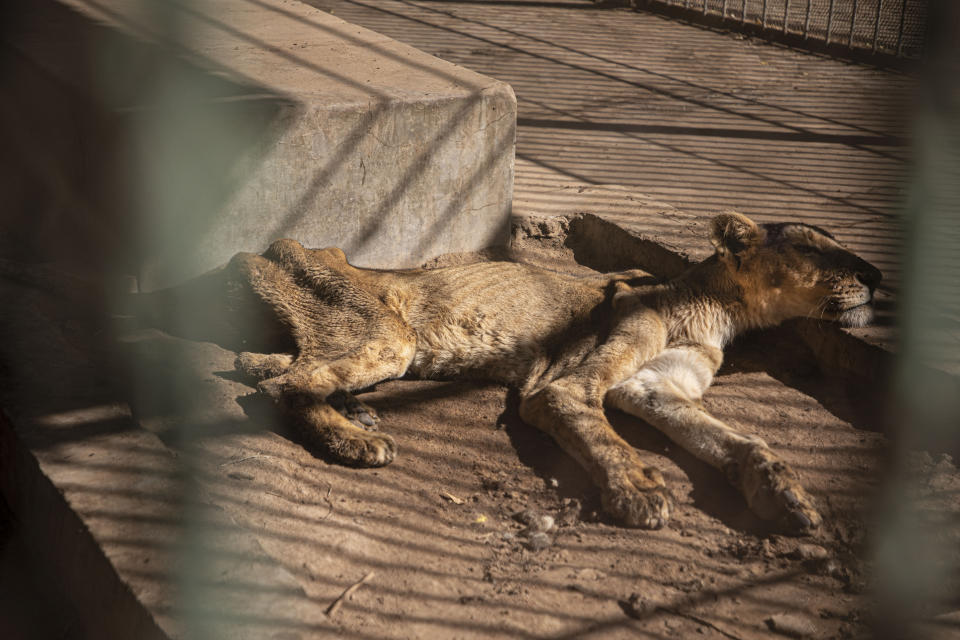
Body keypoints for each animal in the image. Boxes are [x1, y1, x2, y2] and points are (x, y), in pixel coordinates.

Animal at [227, 212, 884, 532]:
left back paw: (353, 410)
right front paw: (639, 490)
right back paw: (357, 439)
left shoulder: (654, 387)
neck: (721, 314)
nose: (876, 274)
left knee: (265, 367)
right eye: (813, 250)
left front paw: (785, 495)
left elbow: (742, 441)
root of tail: (267, 248)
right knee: (286, 383)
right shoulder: (567, 385)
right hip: (389, 338)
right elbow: (603, 434)